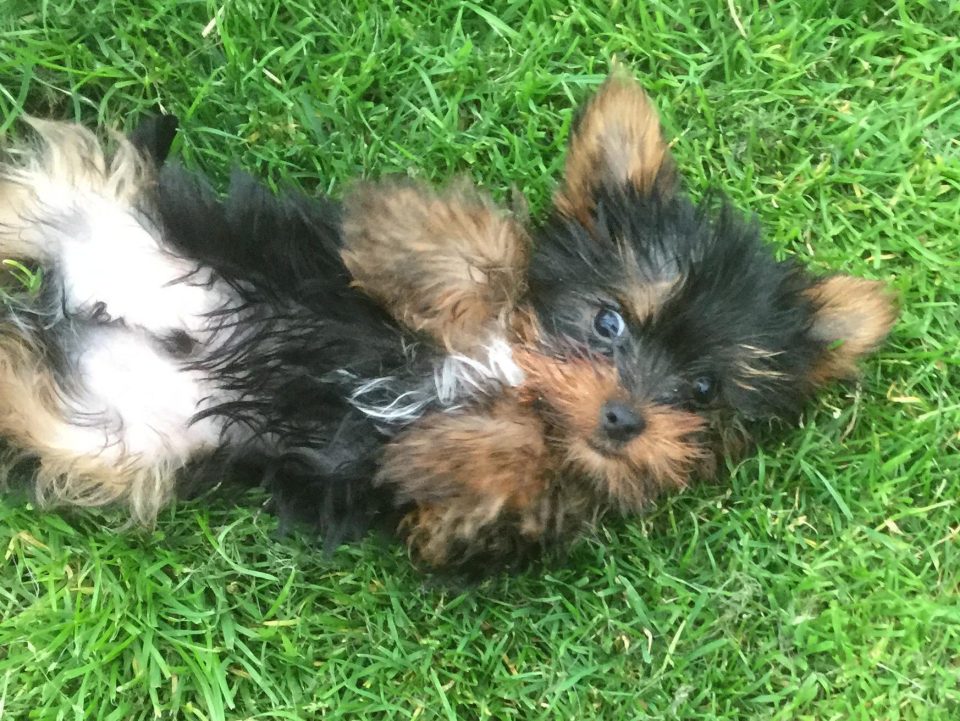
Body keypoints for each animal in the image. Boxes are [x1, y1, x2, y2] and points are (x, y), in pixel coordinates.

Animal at [0, 71, 900, 572]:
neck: (519, 371)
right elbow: (488, 254)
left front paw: (457, 445)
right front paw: (433, 258)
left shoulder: (477, 524)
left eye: (705, 389)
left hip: (113, 439)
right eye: (608, 322)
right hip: (105, 213)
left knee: (27, 385)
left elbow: (511, 474)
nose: (624, 419)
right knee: (41, 186)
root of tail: (71, 303)